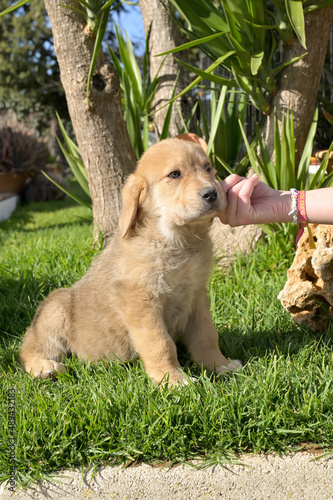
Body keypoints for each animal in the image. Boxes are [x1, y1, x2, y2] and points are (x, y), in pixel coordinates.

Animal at [20, 139, 241, 384]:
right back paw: (44, 367)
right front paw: (172, 380)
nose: (211, 193)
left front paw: (220, 365)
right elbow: (161, 344)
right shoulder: (142, 304)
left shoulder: (196, 296)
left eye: (208, 167)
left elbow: (207, 335)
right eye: (174, 174)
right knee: (29, 348)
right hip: (54, 309)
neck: (177, 241)